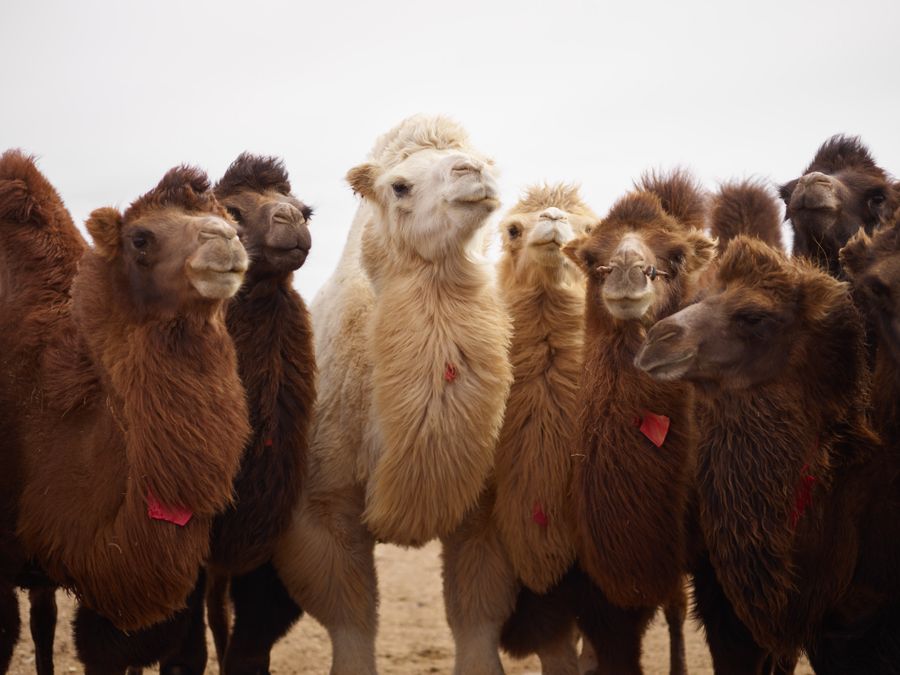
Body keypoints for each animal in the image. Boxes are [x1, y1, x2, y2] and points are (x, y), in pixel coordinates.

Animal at [273, 115, 512, 674]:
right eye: (399, 186)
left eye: (486, 161)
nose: (474, 172)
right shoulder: (321, 506)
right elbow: (350, 616)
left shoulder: (483, 510)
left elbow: (477, 613)